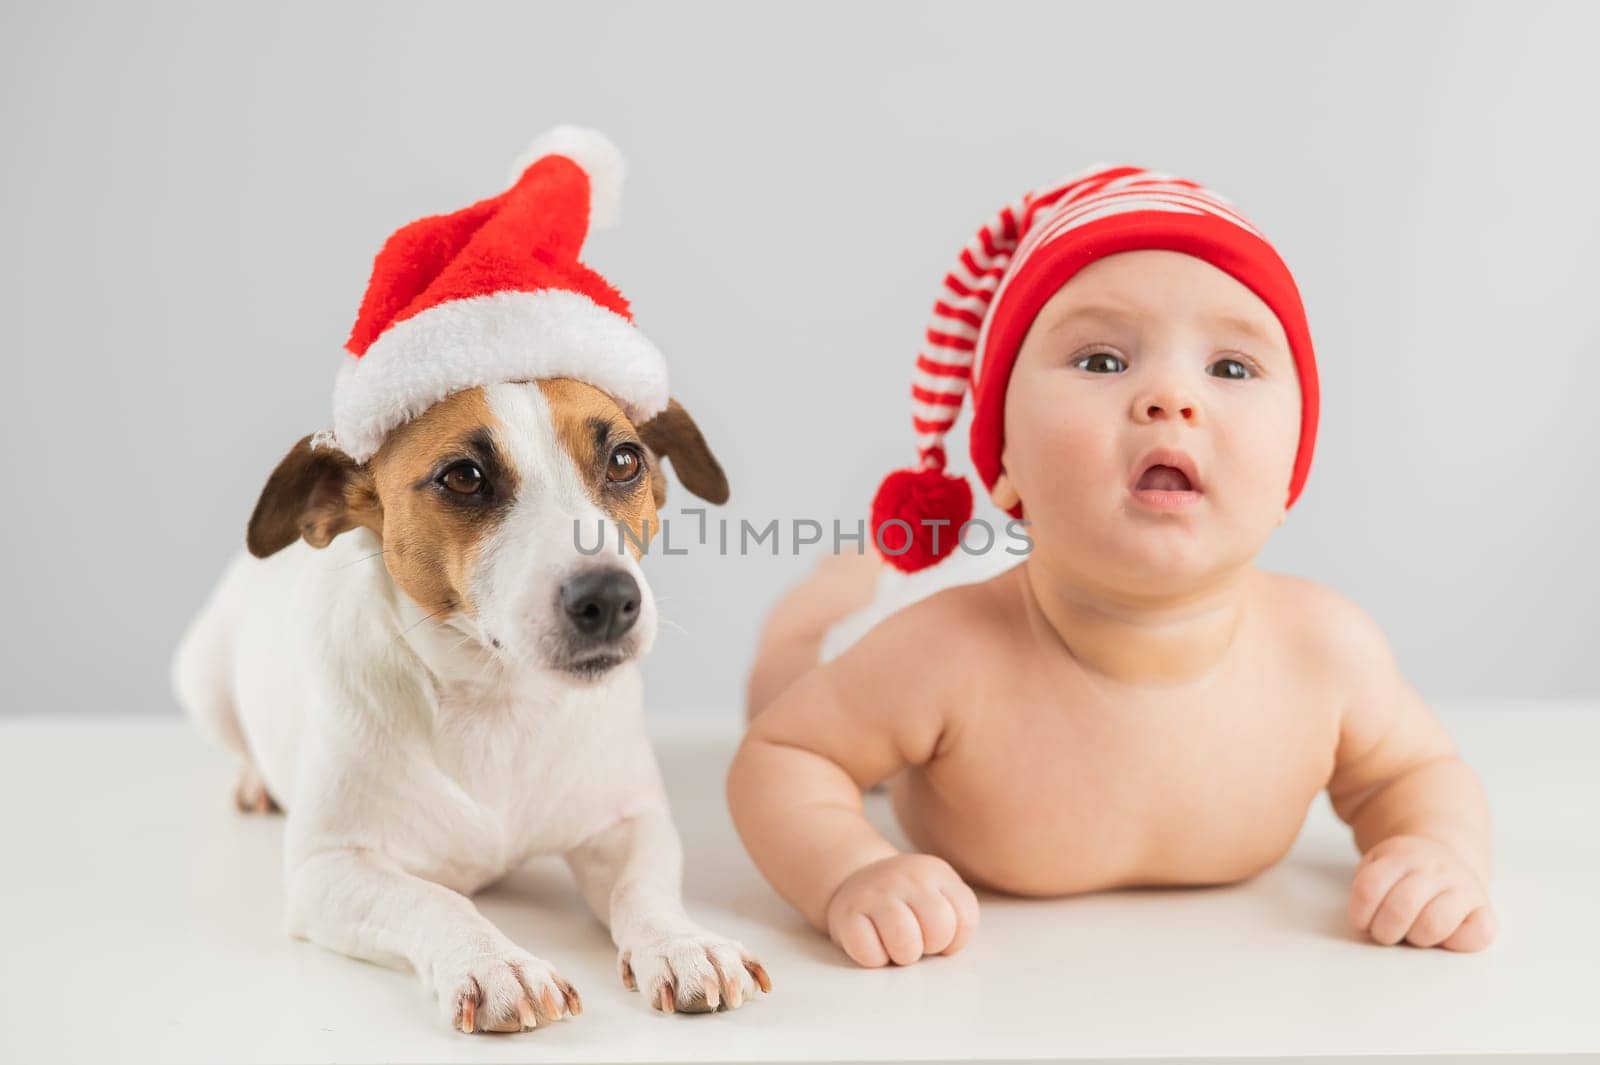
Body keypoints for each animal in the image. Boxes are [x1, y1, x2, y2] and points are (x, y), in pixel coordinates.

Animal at [172, 126, 771, 1029]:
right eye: (463, 476)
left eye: (625, 459)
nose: (608, 599)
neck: (498, 705)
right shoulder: (330, 868)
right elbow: (436, 898)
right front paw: (497, 962)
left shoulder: (629, 821)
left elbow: (647, 889)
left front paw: (682, 941)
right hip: (206, 677)